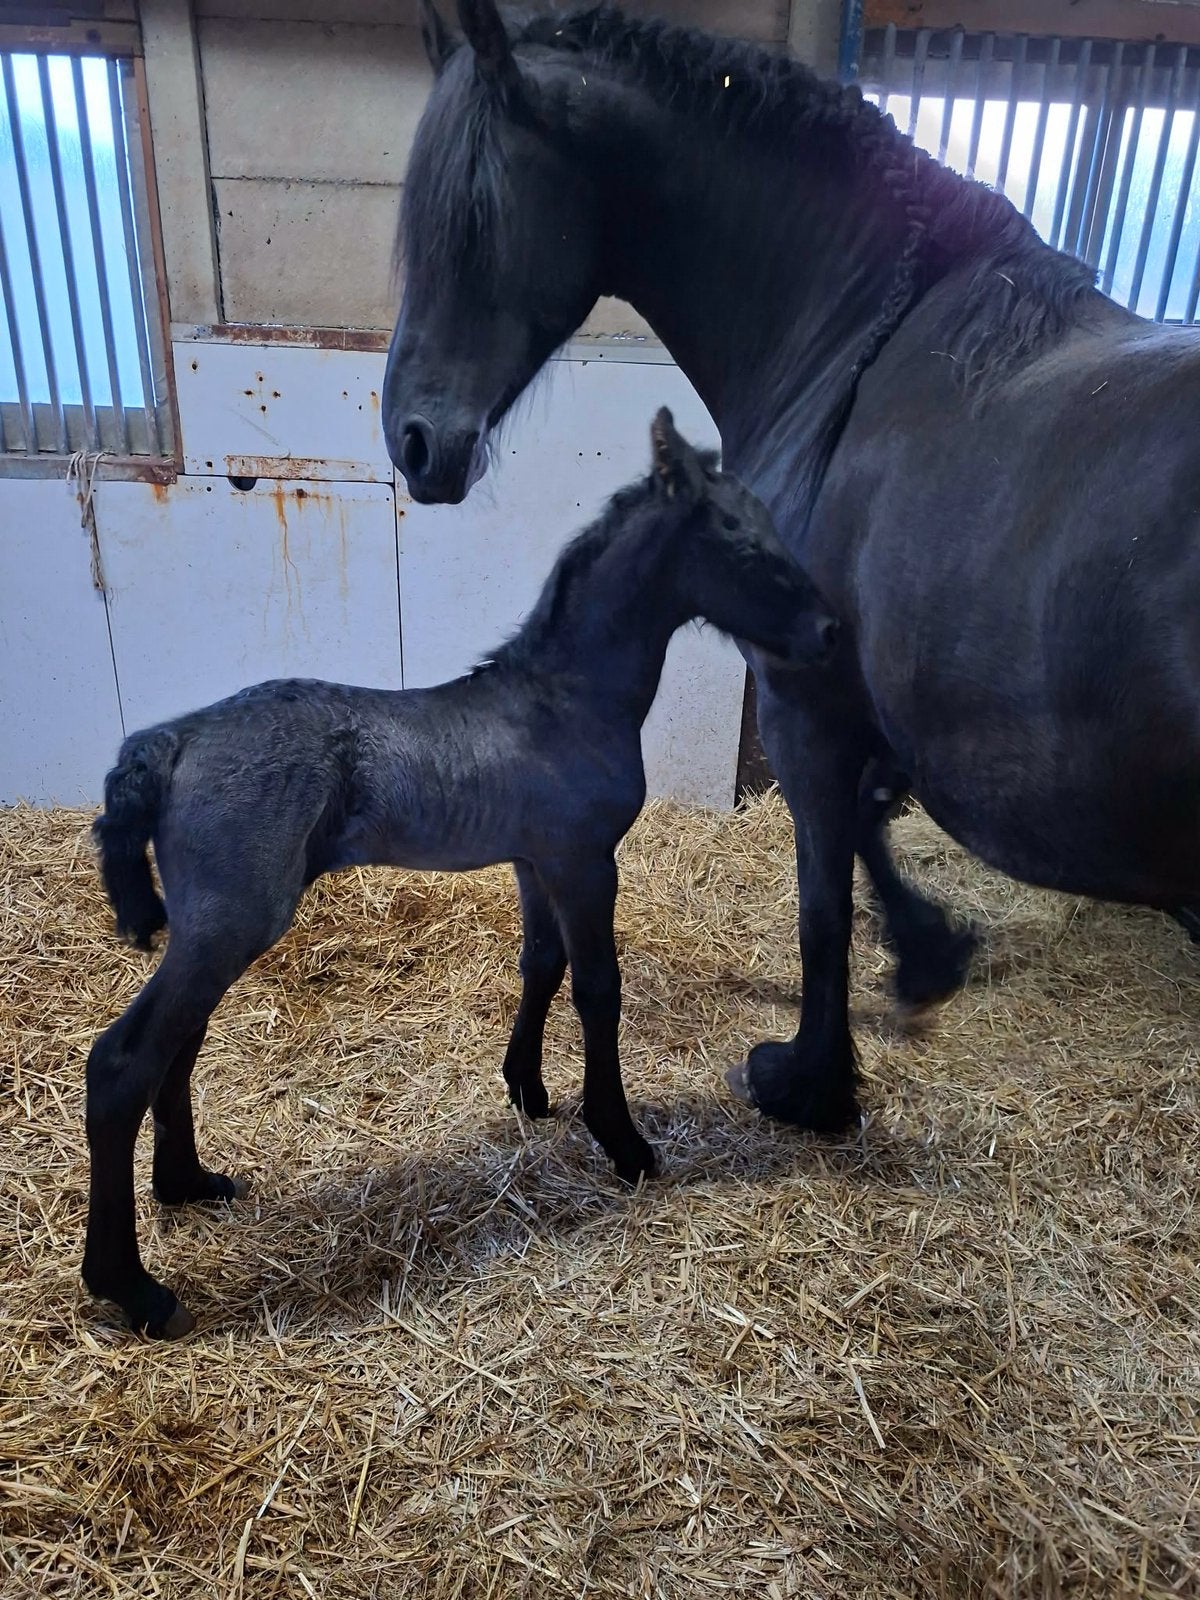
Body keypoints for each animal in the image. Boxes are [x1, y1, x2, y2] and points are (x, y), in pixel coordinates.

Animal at [82, 409, 838, 1337]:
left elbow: (541, 964)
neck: (564, 699)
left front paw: (528, 1090)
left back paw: (188, 1184)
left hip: (212, 929)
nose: (831, 632)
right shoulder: (584, 861)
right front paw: (621, 1139)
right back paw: (132, 1287)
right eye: (740, 539)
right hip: (232, 920)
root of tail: (171, 741)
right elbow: (598, 989)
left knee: (176, 1048)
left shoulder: (534, 860)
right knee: (123, 1064)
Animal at [381, 0, 1200, 1138]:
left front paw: (807, 1078)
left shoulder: (802, 696)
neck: (856, 343)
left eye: (470, 217)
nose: (411, 443)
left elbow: (823, 898)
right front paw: (928, 954)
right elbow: (870, 827)